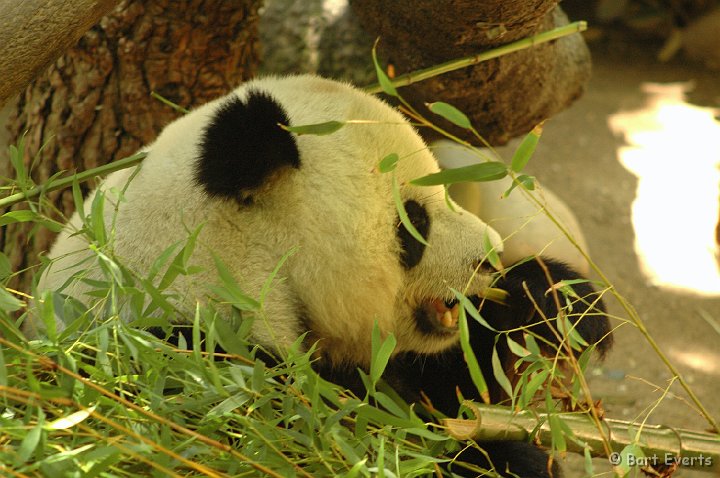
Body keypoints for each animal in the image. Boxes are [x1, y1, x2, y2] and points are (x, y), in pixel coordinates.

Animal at [29, 75, 612, 478]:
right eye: (414, 221)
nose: (489, 255)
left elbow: (451, 389)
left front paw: (557, 306)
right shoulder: (192, 371)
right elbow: (354, 442)